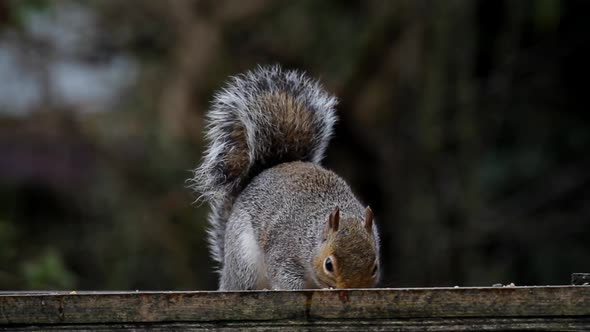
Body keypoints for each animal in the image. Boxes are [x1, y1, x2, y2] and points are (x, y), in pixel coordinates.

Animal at [192, 66, 382, 290]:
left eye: (375, 267)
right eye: (329, 265)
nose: (352, 290)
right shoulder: (284, 251)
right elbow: (285, 277)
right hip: (244, 261)